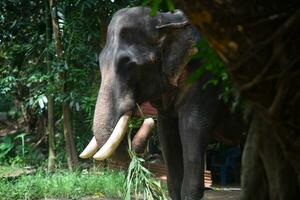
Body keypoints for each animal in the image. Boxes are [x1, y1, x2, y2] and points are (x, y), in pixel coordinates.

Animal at [79, 6, 244, 200]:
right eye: (100, 61)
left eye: (130, 65)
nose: (147, 119)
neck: (167, 20)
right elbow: (166, 133)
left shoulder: (205, 79)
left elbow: (192, 127)